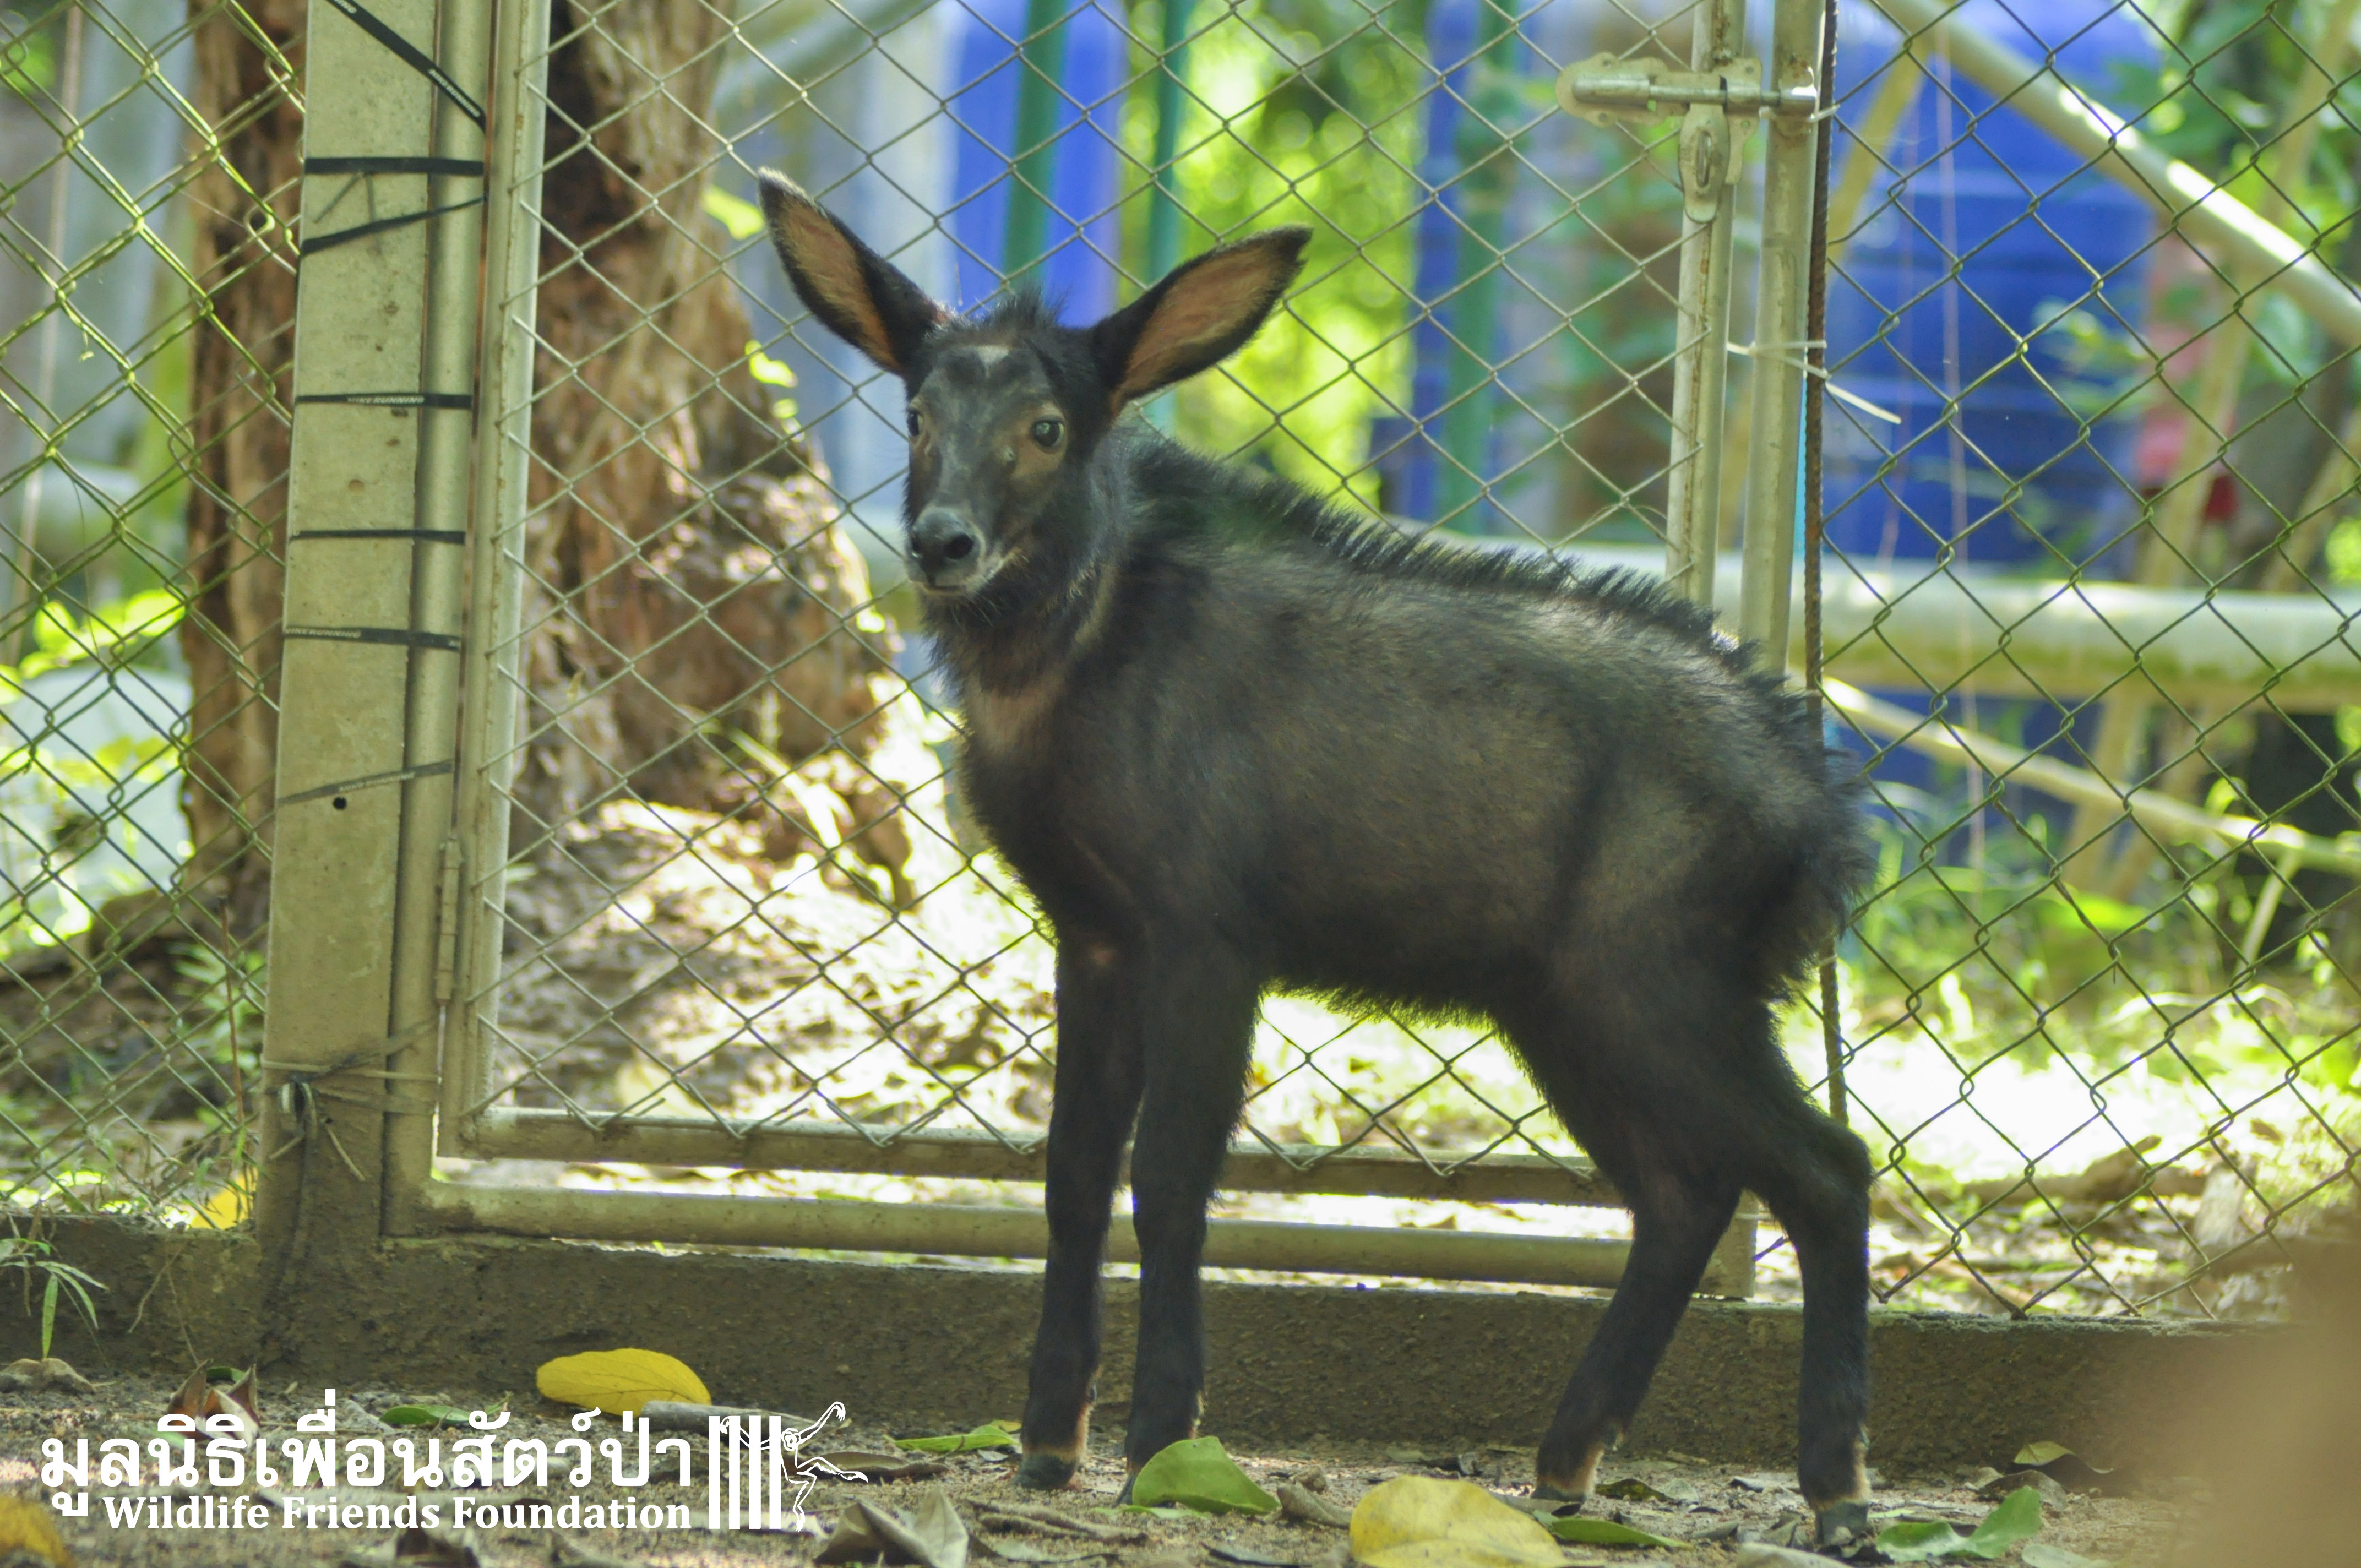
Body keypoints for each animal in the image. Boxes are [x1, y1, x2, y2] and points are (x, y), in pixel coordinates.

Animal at [758, 172, 1877, 1545]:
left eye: (1047, 425)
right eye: (915, 410)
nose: (940, 540)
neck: (1066, 668)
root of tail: (1822, 826)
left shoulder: (1208, 927)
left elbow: (1172, 1175)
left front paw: (1157, 1437)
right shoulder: (1094, 930)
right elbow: (1071, 1172)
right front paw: (1043, 1440)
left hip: (1662, 979)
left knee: (1827, 1169)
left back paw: (1835, 1490)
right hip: (1566, 1001)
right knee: (1682, 1190)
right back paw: (1565, 1461)